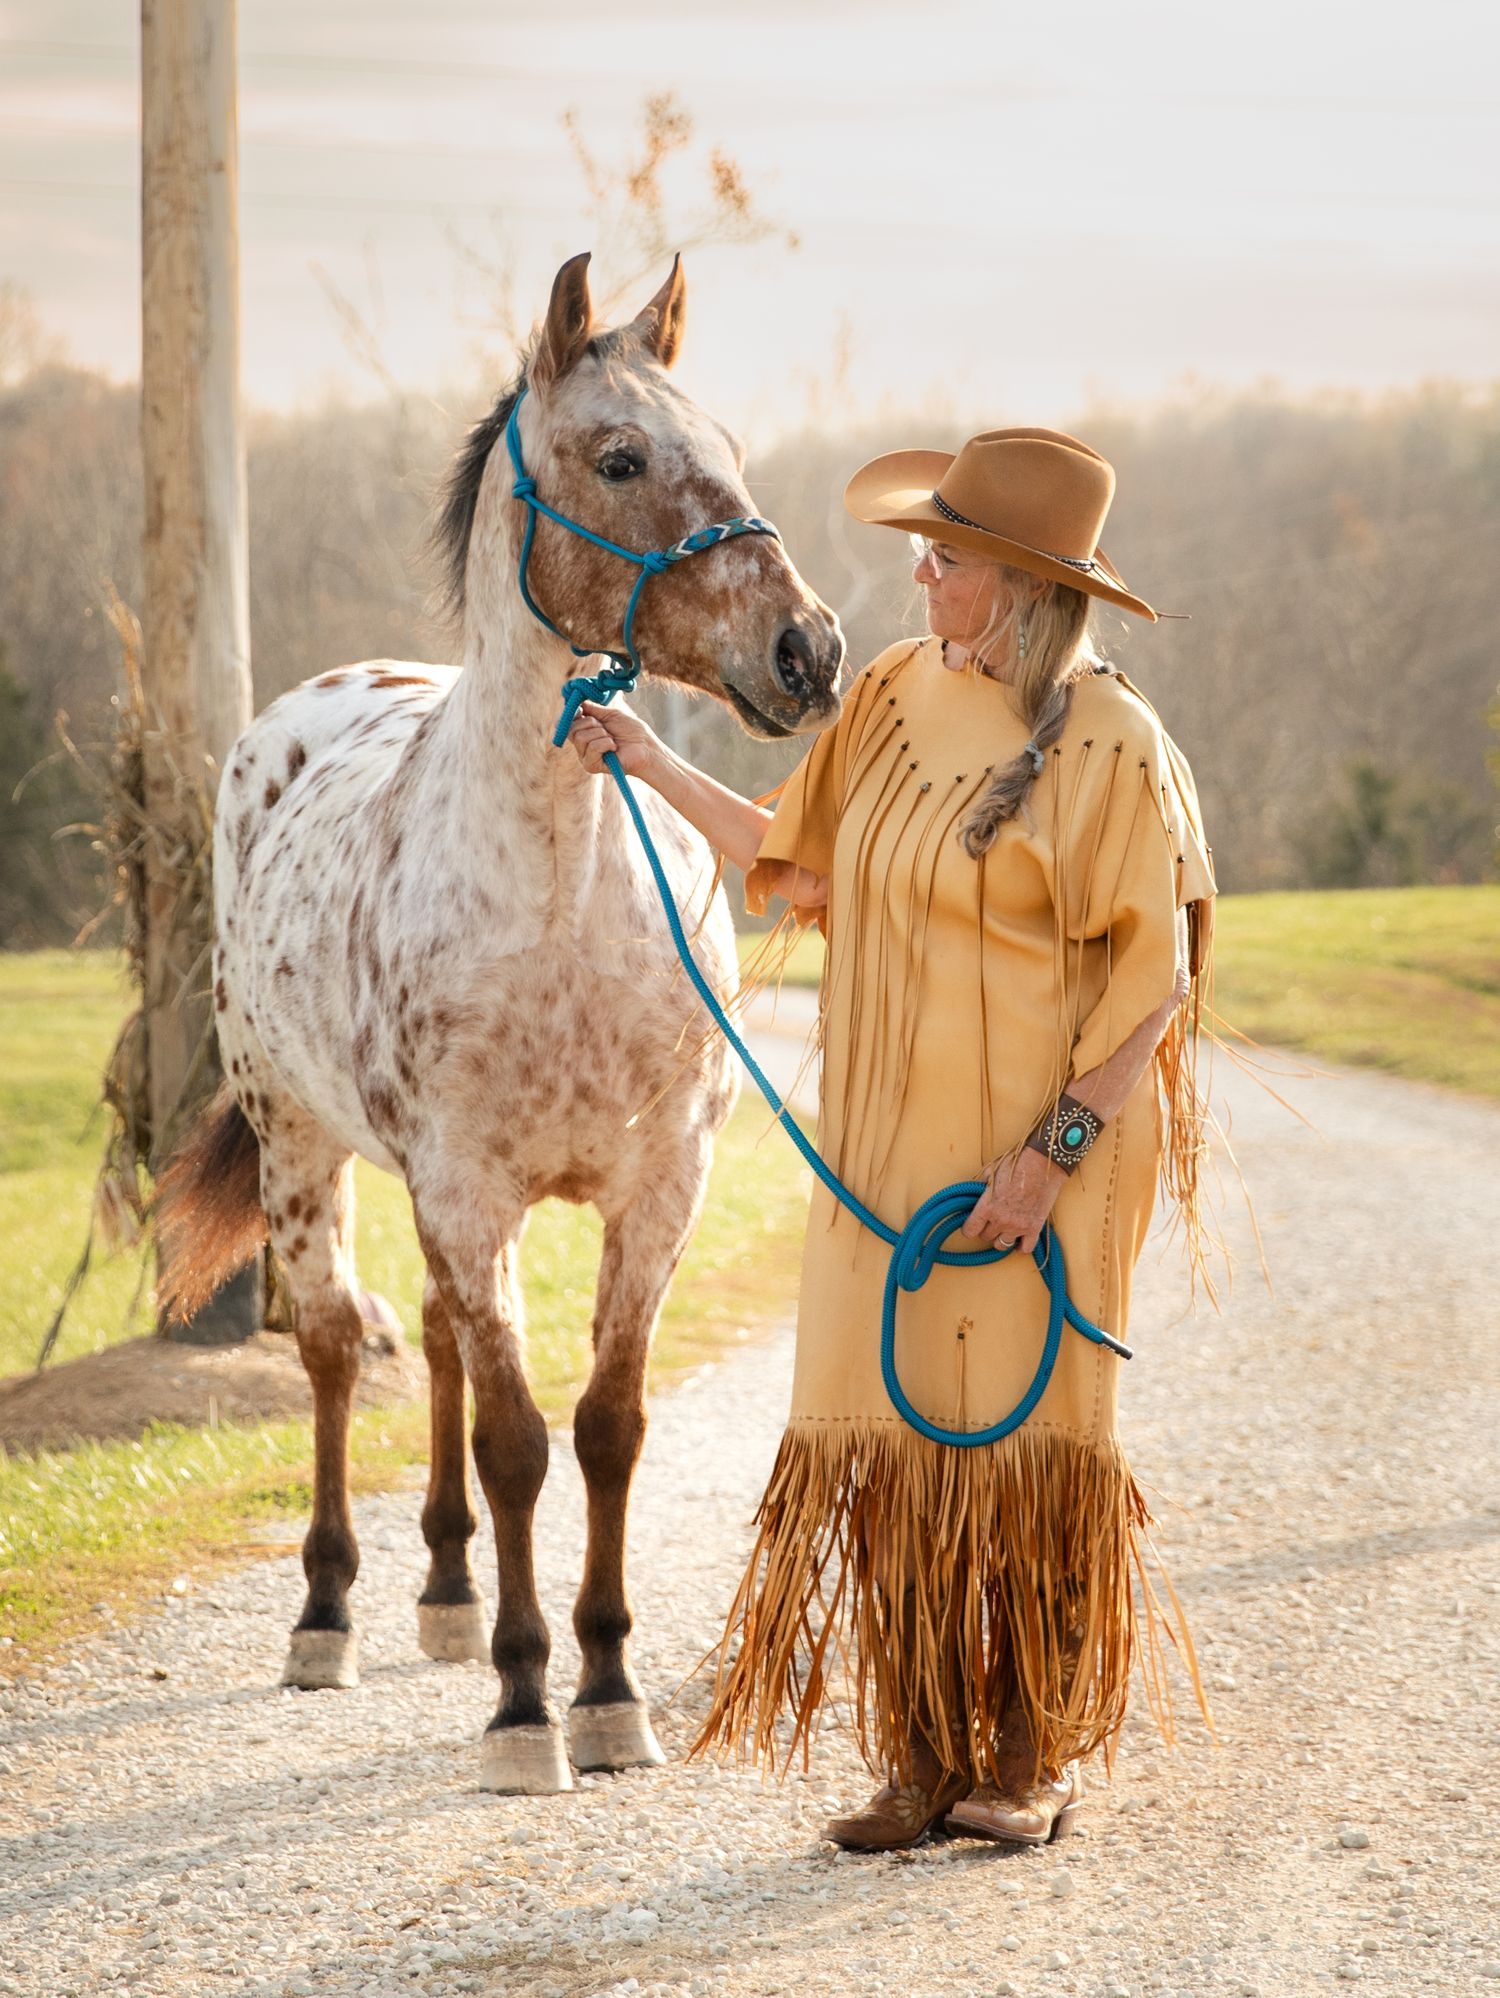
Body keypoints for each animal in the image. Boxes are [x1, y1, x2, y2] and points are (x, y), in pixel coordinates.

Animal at [158, 251, 845, 1795]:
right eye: (621, 457)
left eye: (729, 444)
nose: (809, 651)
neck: (559, 895)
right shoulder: (468, 1191)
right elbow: (522, 1442)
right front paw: (532, 1705)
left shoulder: (654, 1189)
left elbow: (605, 1430)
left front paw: (606, 1686)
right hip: (304, 1152)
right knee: (338, 1348)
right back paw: (333, 1611)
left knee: (434, 1344)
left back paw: (448, 1592)